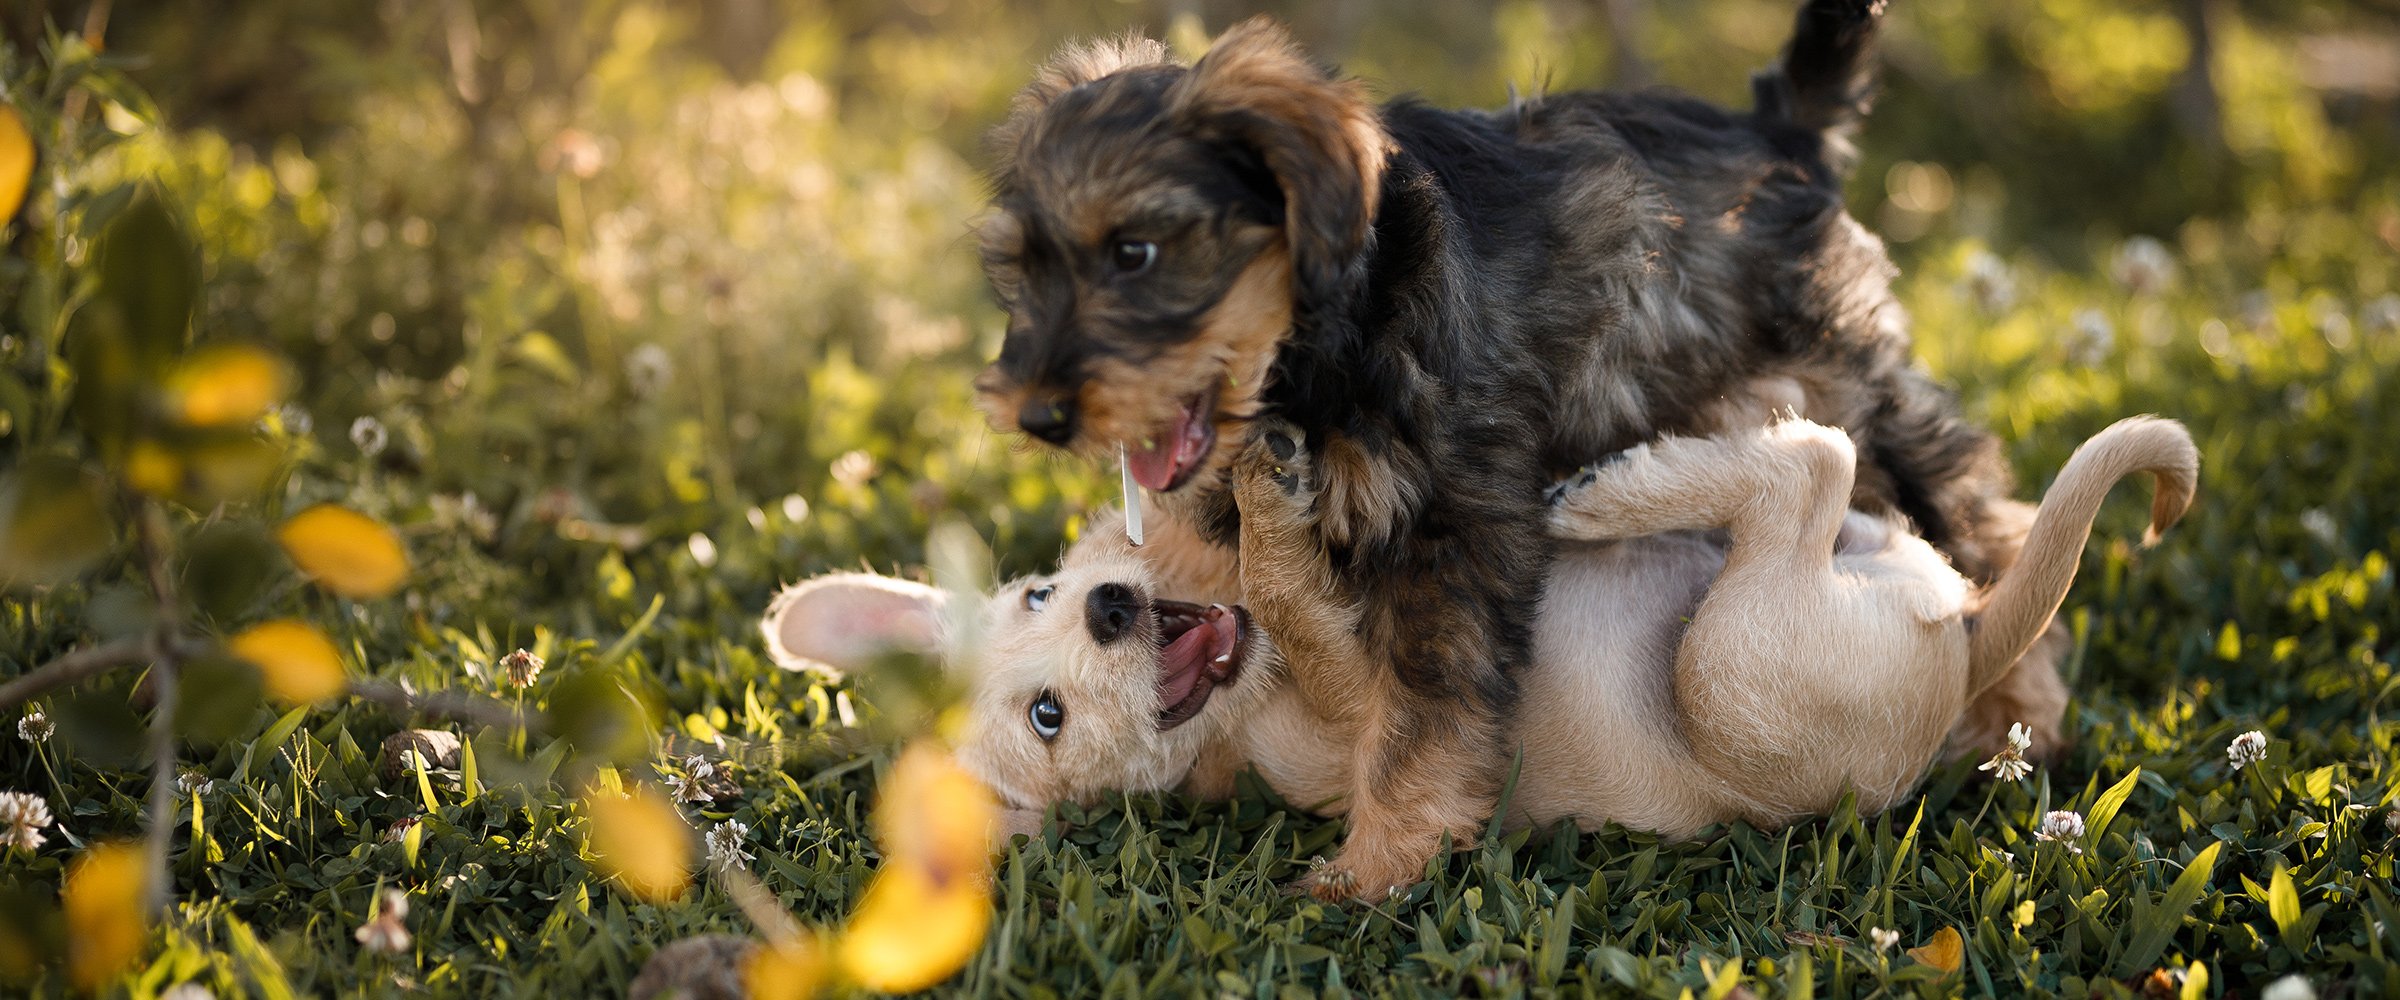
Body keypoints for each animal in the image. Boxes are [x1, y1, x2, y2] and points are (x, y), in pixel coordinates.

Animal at [964, 3, 2054, 896]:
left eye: (1134, 252)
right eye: (1024, 270)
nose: (1037, 413)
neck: (1329, 344)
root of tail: (1781, 132)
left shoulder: (1457, 530)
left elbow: (1417, 711)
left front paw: (1379, 861)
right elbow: (1267, 582)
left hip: (1845, 385)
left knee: (1977, 513)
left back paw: (2021, 720)